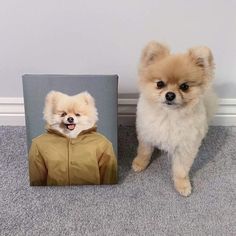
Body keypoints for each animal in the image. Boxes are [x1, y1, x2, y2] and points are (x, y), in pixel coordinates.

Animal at [132, 41, 217, 196]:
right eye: (160, 84)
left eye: (184, 86)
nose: (170, 95)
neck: (169, 116)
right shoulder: (146, 134)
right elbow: (144, 151)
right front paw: (139, 163)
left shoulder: (185, 147)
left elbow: (181, 169)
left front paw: (182, 185)